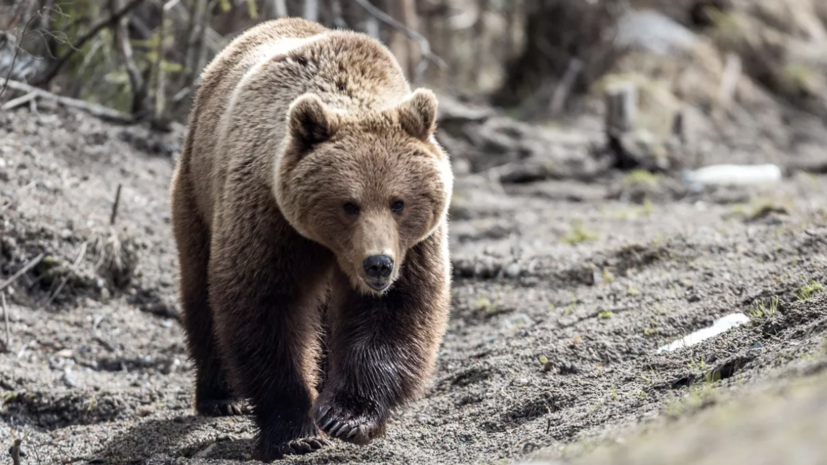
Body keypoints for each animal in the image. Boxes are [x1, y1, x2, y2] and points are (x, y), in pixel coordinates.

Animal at [168, 16, 452, 458]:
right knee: (199, 288)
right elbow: (266, 307)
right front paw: (295, 431)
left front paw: (345, 416)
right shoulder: (270, 218)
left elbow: (397, 310)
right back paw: (221, 395)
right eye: (349, 204)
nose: (378, 264)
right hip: (197, 191)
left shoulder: (415, 245)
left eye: (398, 202)